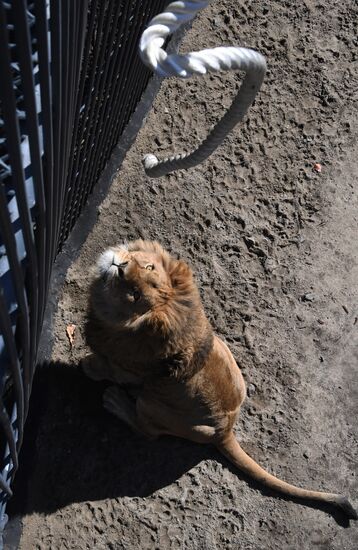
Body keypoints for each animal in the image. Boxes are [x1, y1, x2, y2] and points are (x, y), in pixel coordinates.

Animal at [83, 239, 356, 520]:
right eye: (147, 266)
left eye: (136, 294)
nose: (120, 266)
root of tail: (226, 432)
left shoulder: (125, 368)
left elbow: (103, 367)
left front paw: (88, 366)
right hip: (225, 353)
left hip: (152, 405)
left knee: (148, 432)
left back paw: (116, 402)